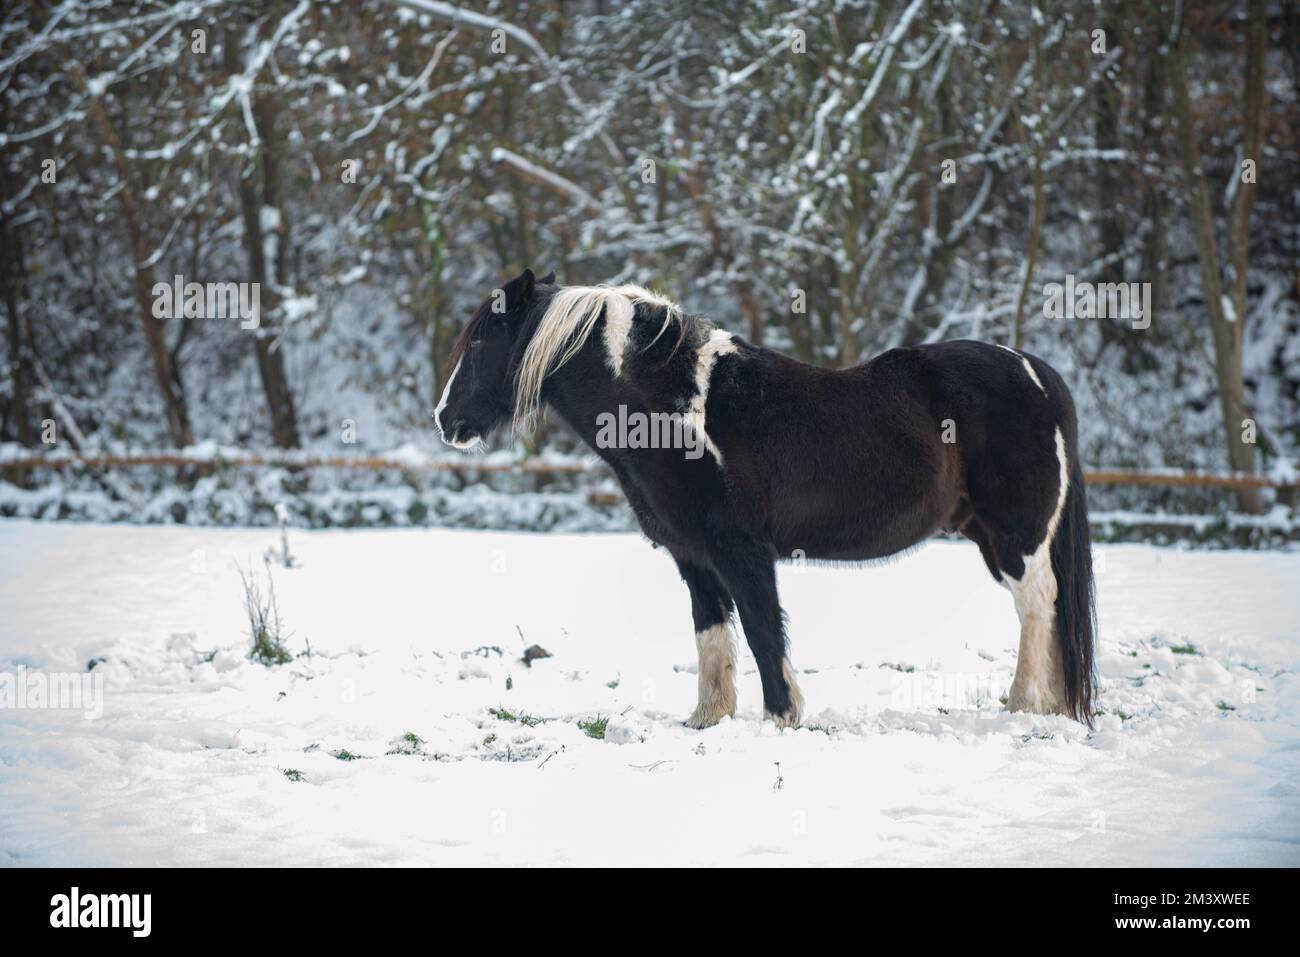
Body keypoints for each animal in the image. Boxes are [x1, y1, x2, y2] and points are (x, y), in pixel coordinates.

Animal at [434, 268, 1097, 728]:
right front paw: (708, 719)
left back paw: (1022, 705)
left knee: (1037, 605)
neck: (671, 412)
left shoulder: (742, 552)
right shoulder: (693, 556)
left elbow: (760, 630)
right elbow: (711, 633)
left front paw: (782, 716)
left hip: (1015, 535)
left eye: (481, 344)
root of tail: (1035, 371)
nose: (446, 421)